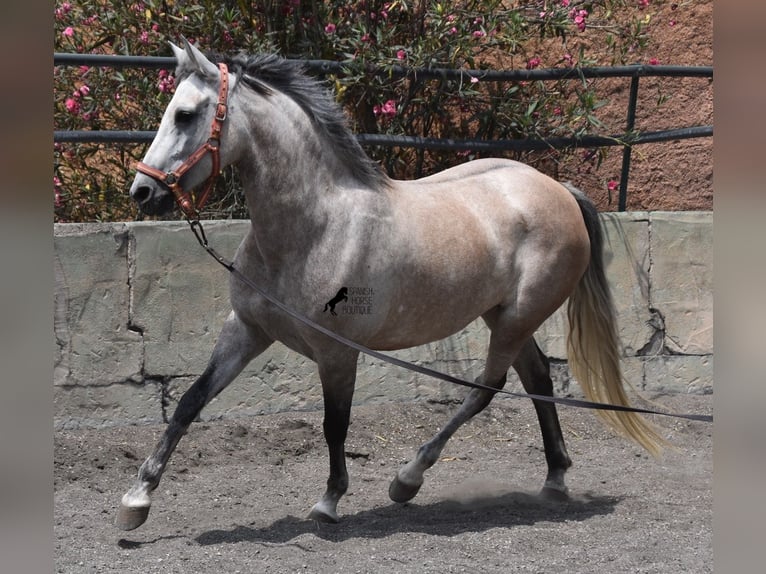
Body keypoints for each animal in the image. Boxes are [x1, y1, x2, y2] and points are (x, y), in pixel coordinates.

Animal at [117, 40, 668, 532]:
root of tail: (559, 191)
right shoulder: (247, 330)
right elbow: (190, 401)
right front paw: (137, 499)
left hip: (517, 318)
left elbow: (334, 424)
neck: (316, 227)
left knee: (487, 388)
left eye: (185, 115)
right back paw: (554, 479)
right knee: (537, 380)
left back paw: (408, 478)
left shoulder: (337, 352)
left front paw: (329, 502)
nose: (142, 191)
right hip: (504, 314)